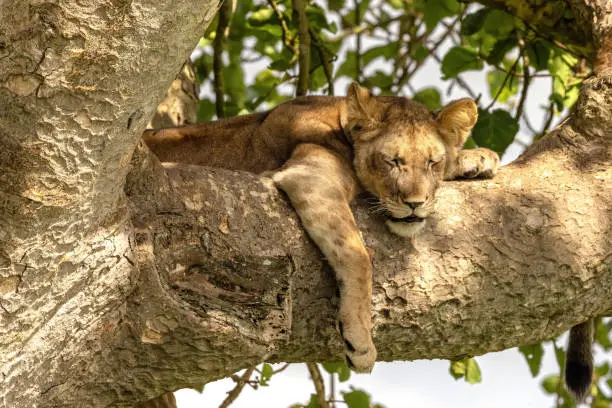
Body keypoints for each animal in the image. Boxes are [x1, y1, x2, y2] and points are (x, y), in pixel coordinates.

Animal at [145, 83, 592, 398]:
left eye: (432, 162)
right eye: (393, 161)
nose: (414, 204)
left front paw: (475, 158)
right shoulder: (311, 176)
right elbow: (358, 256)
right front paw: (359, 339)